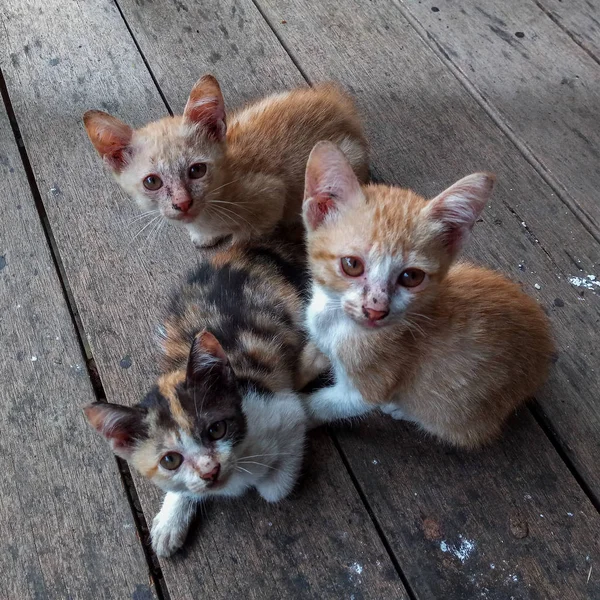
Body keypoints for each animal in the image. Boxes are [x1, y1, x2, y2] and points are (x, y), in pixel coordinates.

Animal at [82, 75, 368, 248]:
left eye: (197, 170)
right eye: (152, 182)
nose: (182, 203)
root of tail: (343, 108)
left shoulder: (272, 194)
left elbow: (245, 237)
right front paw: (203, 237)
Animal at [84, 237, 310, 556]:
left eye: (217, 430)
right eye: (170, 460)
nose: (209, 471)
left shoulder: (285, 412)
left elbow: (274, 489)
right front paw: (171, 520)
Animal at [302, 142, 556, 450]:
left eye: (411, 277)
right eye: (352, 265)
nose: (376, 310)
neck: (336, 321)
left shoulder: (369, 387)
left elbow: (320, 406)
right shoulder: (319, 336)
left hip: (460, 411)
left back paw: (400, 409)